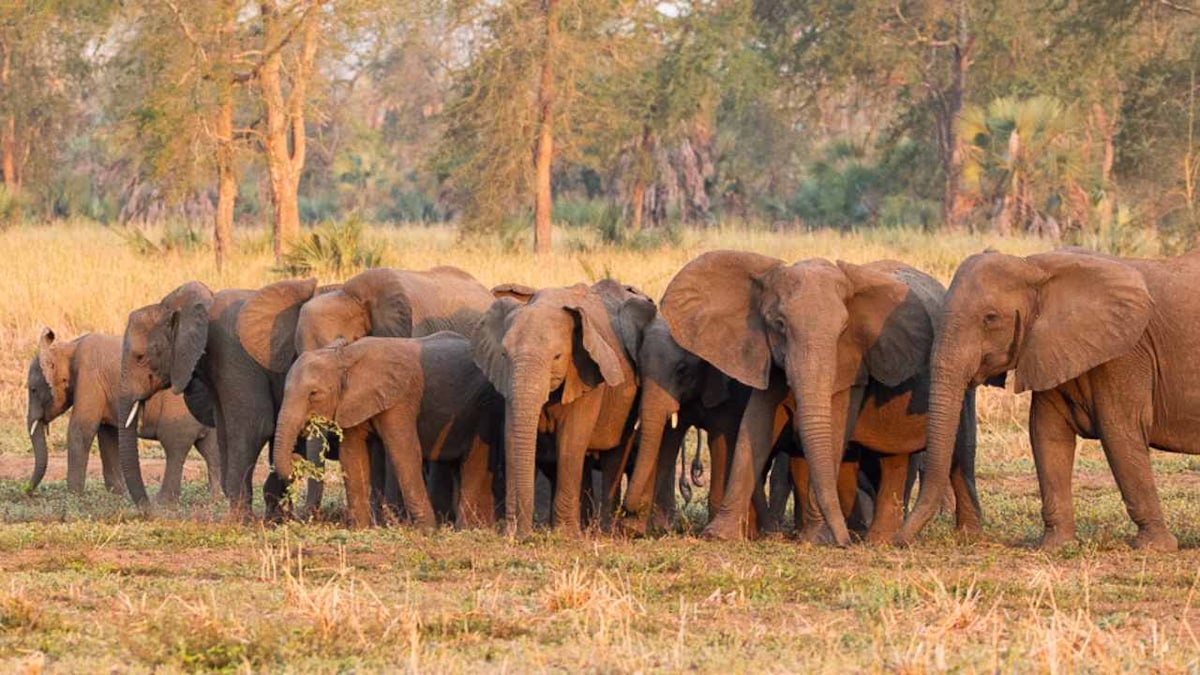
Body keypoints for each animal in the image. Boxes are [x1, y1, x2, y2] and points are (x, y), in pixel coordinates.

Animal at [27, 326, 219, 499]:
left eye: (33, 390)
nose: (27, 492)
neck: (67, 348)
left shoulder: (89, 378)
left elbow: (81, 430)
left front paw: (74, 497)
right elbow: (108, 436)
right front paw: (119, 495)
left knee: (174, 446)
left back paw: (163, 501)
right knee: (209, 449)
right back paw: (215, 498)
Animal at [272, 329, 501, 526]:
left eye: (313, 394)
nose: (296, 458)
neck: (344, 356)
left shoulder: (400, 399)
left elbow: (404, 451)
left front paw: (427, 531)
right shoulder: (353, 401)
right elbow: (352, 455)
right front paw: (361, 529)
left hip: (484, 407)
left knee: (474, 461)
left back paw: (468, 528)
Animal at [470, 278, 657, 535]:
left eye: (557, 357)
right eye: (504, 355)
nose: (523, 534)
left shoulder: (587, 373)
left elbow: (571, 441)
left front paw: (564, 535)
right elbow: (511, 438)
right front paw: (512, 532)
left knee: (614, 455)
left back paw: (603, 530)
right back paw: (586, 526)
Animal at [662, 249, 979, 542]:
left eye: (843, 329)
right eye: (779, 324)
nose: (845, 543)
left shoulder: (852, 364)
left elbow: (835, 428)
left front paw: (817, 540)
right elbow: (755, 428)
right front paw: (719, 536)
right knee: (893, 458)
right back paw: (875, 539)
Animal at [902, 249, 1200, 550]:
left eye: (990, 318)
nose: (898, 540)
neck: (1034, 268)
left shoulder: (1125, 354)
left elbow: (1120, 432)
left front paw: (1154, 547)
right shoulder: (1049, 348)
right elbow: (1047, 433)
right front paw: (1055, 546)